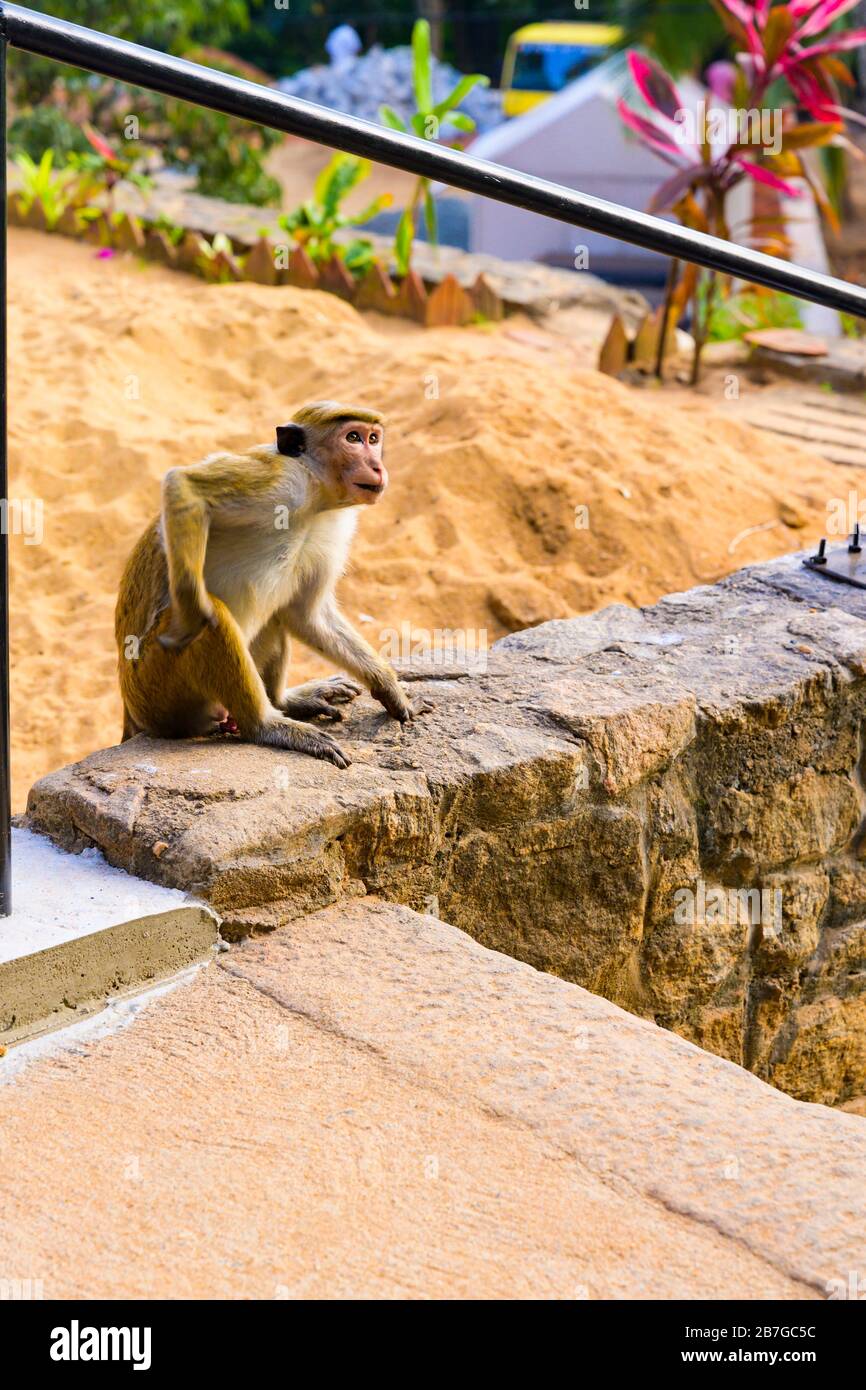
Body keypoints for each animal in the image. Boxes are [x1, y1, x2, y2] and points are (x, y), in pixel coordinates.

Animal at [114, 401, 426, 769]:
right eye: (353, 438)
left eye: (374, 439)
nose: (377, 465)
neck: (316, 499)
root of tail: (131, 709)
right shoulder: (280, 482)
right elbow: (184, 484)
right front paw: (191, 609)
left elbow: (307, 614)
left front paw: (390, 690)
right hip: (155, 690)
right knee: (215, 618)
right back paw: (265, 725)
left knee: (277, 614)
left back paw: (284, 702)